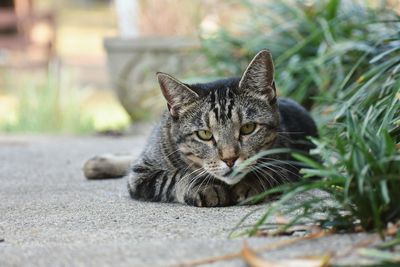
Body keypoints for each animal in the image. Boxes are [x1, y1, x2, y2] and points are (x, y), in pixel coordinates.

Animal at [83, 51, 316, 208]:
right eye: (204, 134)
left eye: (248, 128)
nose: (230, 159)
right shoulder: (141, 175)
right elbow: (174, 177)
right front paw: (204, 186)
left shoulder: (293, 163)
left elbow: (269, 171)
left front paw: (251, 183)